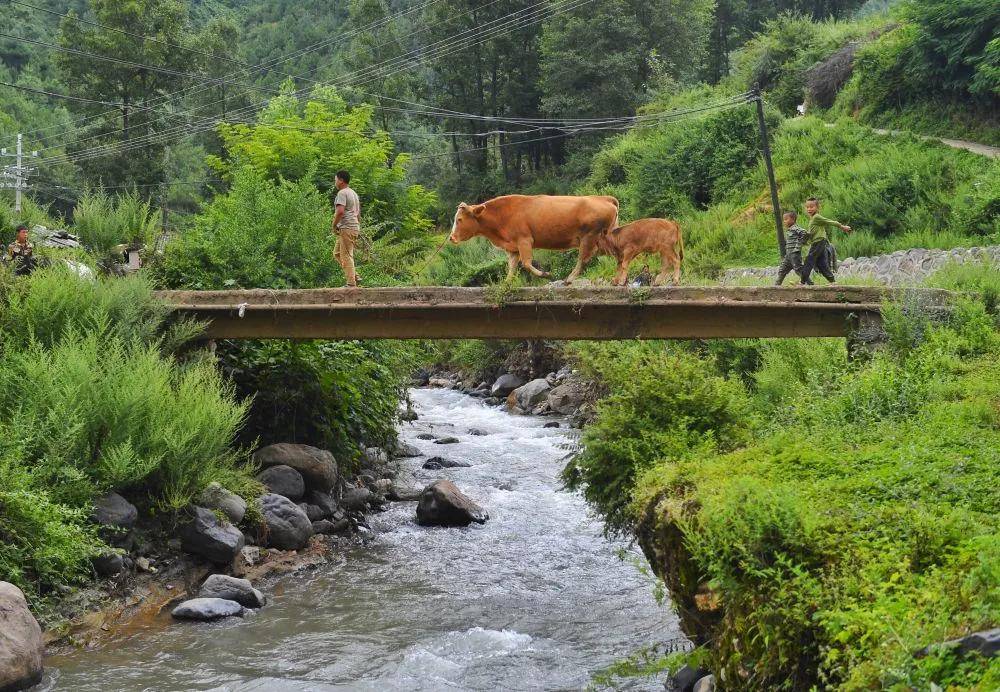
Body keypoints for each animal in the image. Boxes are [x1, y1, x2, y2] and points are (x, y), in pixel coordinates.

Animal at [452, 195, 616, 282]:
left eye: (459, 219)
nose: (451, 237)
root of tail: (604, 198)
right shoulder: (513, 248)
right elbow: (511, 268)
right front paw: (506, 283)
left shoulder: (524, 240)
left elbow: (526, 263)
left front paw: (546, 274)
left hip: (588, 237)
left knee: (583, 259)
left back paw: (569, 278)